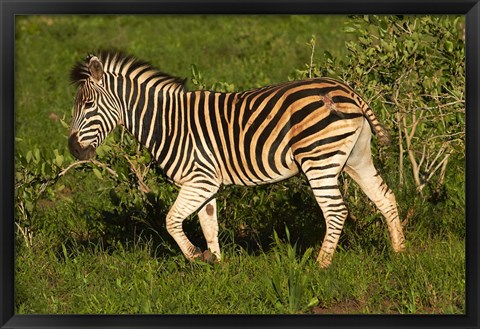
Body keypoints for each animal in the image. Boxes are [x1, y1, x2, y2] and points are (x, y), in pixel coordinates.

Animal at [68, 50, 404, 266]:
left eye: (88, 105)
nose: (73, 150)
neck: (168, 122)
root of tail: (347, 90)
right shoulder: (206, 183)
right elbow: (209, 225)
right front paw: (217, 267)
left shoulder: (200, 180)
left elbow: (171, 221)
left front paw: (196, 257)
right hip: (355, 158)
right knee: (386, 197)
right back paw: (400, 253)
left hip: (319, 160)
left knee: (335, 211)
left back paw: (320, 266)